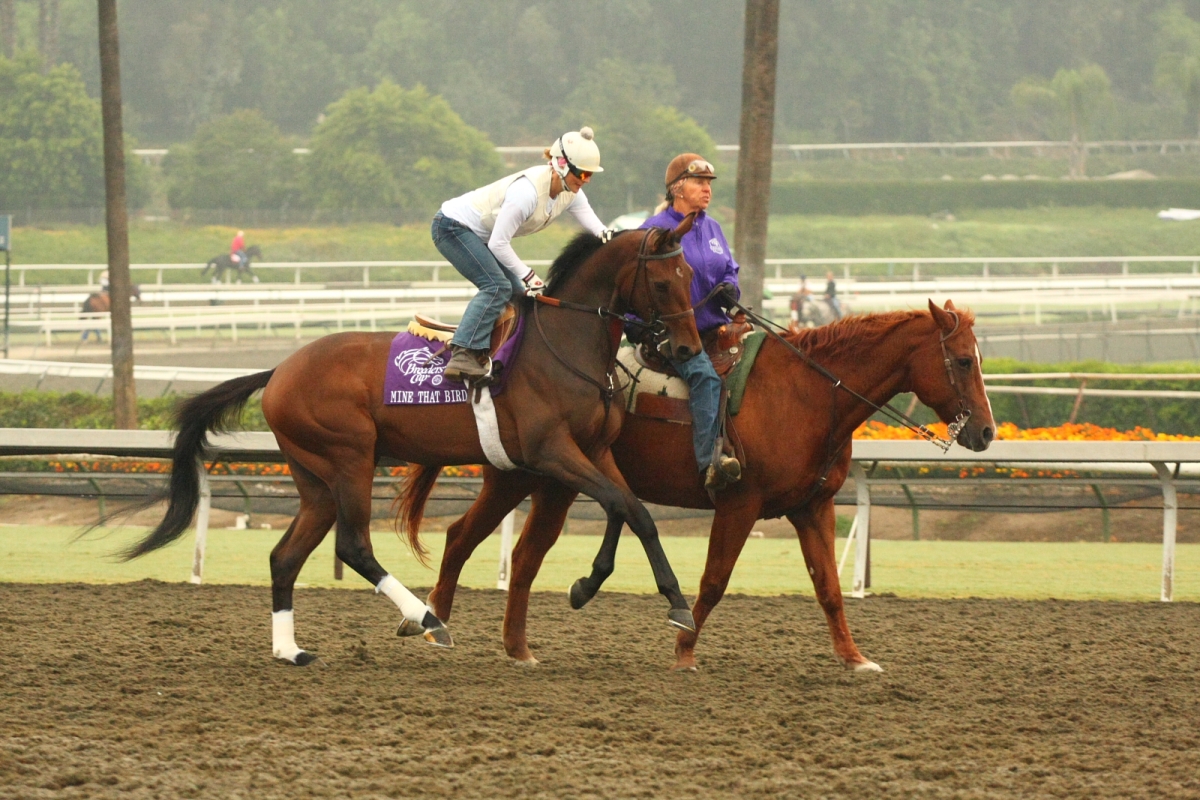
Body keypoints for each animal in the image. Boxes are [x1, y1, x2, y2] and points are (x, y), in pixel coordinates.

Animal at [124, 221, 700, 666]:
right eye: (664, 282)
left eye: (691, 278)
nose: (686, 348)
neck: (564, 344)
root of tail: (280, 369)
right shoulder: (551, 452)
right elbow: (621, 504)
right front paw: (612, 589)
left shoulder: (593, 451)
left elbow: (632, 510)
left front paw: (658, 600)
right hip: (350, 457)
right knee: (354, 545)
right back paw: (426, 617)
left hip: (314, 478)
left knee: (285, 557)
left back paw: (291, 650)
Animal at [400, 297, 993, 671]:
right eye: (964, 360)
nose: (986, 432)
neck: (806, 391)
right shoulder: (739, 504)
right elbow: (713, 581)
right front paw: (684, 650)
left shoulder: (813, 507)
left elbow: (827, 587)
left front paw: (855, 658)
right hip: (521, 478)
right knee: (467, 539)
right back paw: (436, 624)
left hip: (550, 484)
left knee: (514, 555)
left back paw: (509, 645)